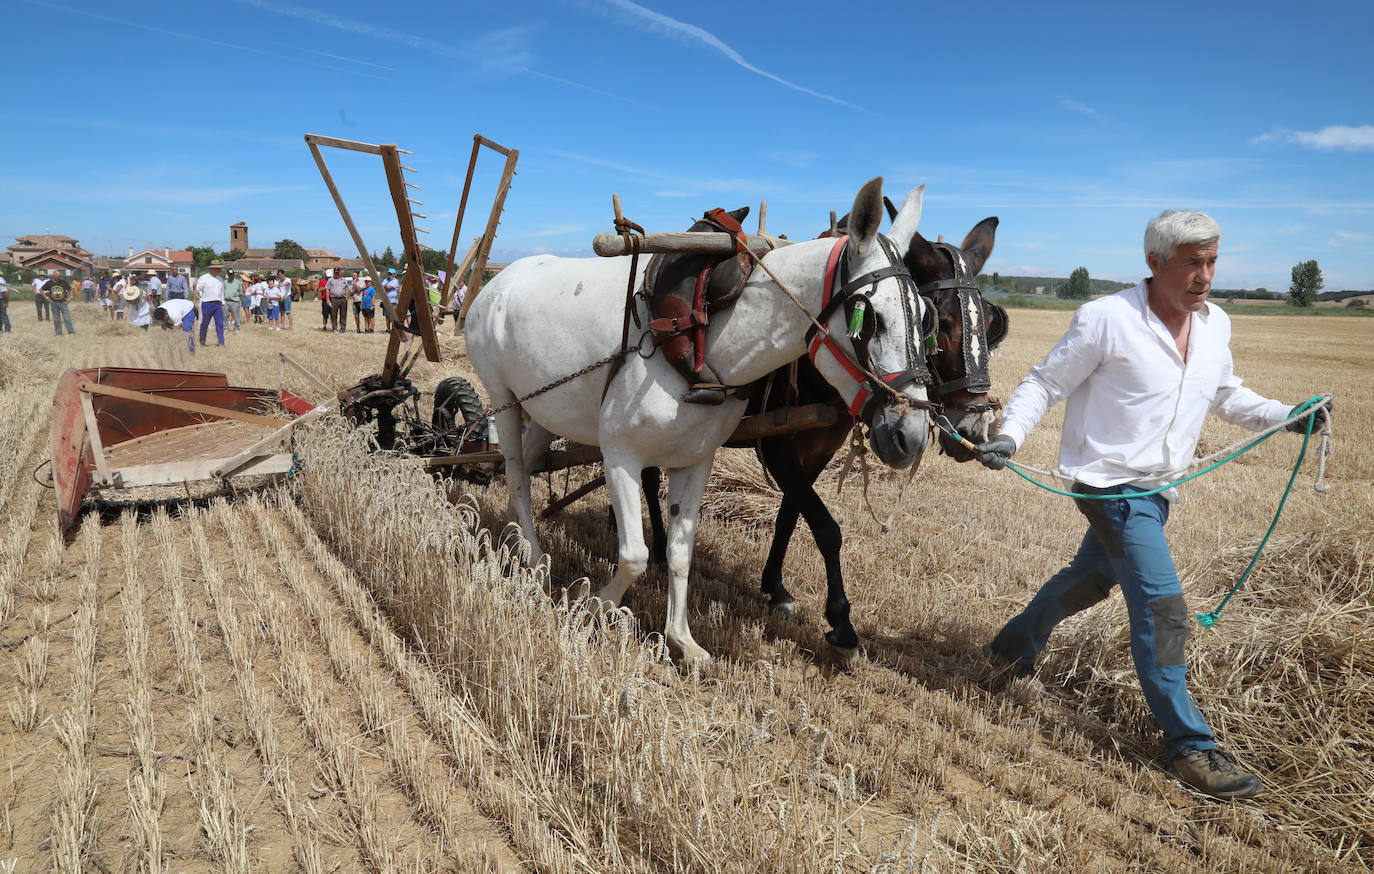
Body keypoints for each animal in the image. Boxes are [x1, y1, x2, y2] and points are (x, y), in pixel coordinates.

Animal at [469, 177, 934, 659]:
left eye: (925, 315)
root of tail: (496, 282)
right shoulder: (619, 454)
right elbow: (634, 555)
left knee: (524, 467)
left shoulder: (696, 459)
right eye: (872, 319)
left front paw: (682, 639)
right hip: (503, 397)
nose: (911, 435)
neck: (704, 340)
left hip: (543, 408)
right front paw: (594, 604)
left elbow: (680, 552)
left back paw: (515, 534)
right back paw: (532, 556)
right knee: (516, 471)